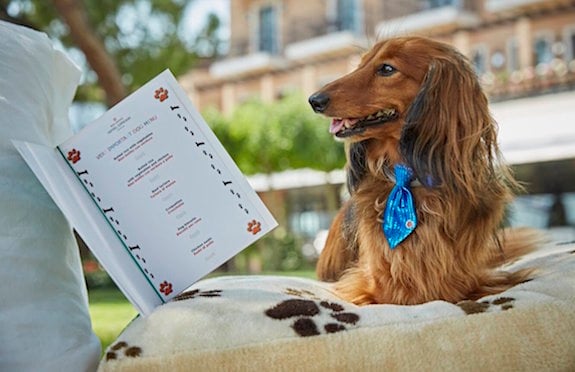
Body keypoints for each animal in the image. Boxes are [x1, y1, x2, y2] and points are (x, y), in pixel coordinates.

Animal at [310, 37, 540, 306]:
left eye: (387, 69)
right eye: (361, 64)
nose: (314, 100)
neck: (410, 181)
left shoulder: (471, 281)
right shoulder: (365, 284)